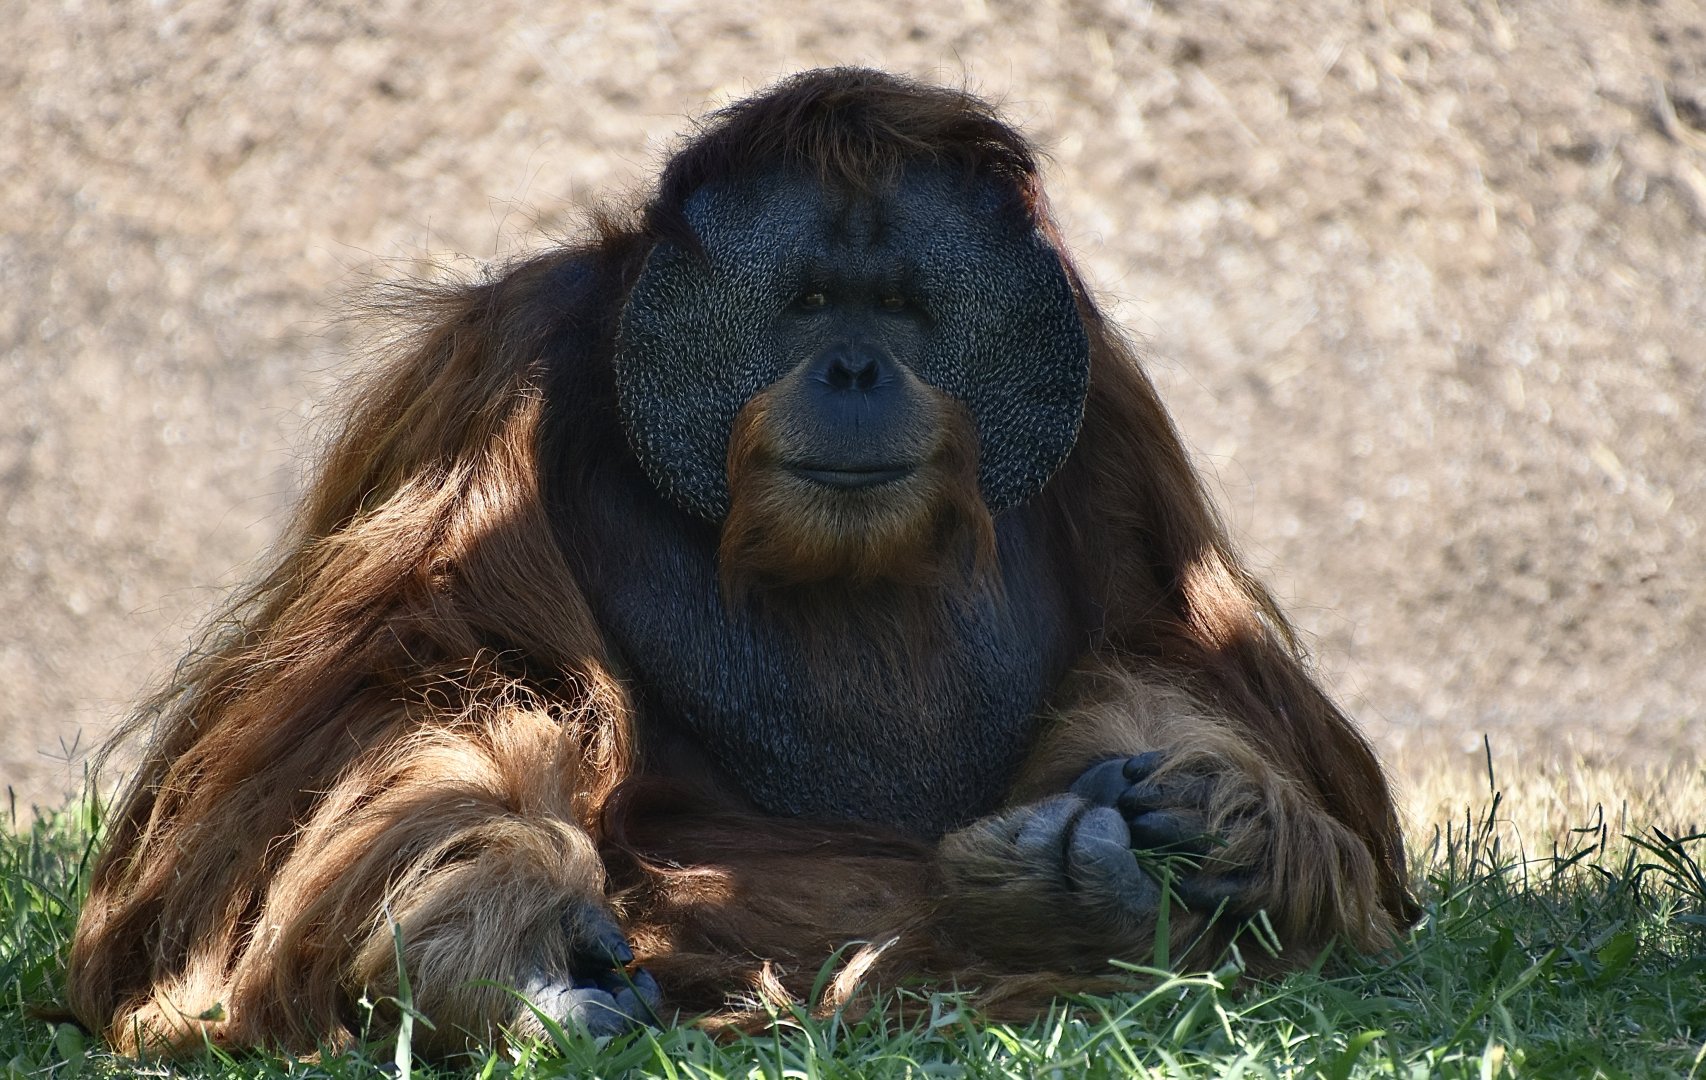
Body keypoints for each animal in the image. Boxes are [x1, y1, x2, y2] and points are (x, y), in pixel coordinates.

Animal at [66, 68, 1418, 1057]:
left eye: (903, 307)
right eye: (811, 302)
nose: (856, 369)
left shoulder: (1110, 411)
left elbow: (1170, 653)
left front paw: (1210, 812)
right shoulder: (493, 378)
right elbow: (402, 684)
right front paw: (508, 955)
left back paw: (1086, 903)